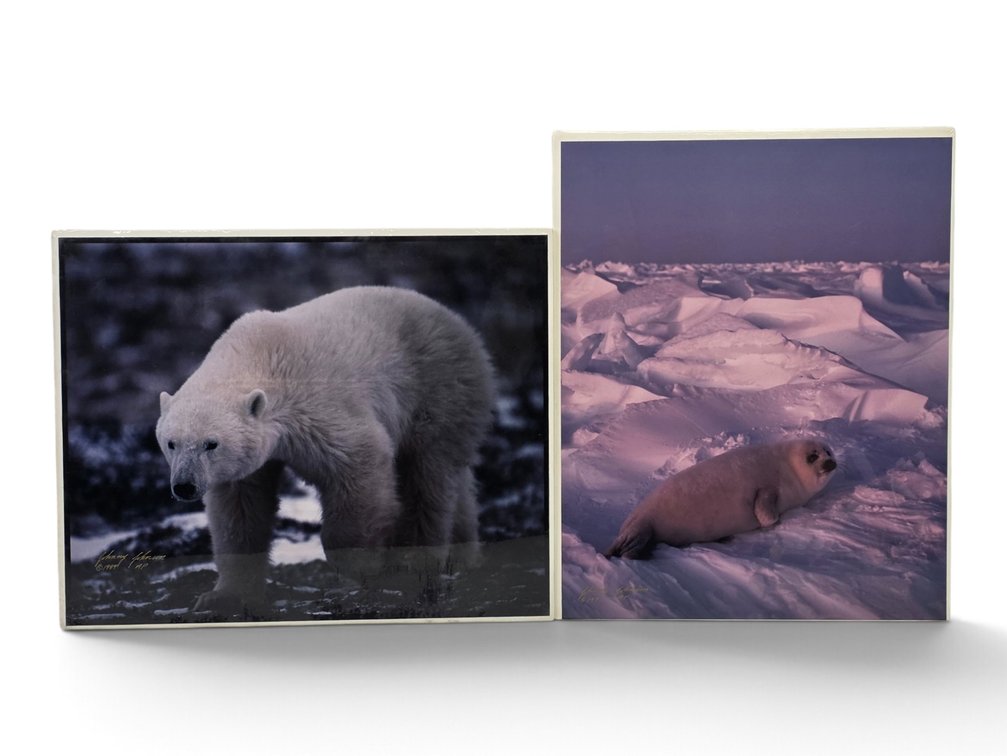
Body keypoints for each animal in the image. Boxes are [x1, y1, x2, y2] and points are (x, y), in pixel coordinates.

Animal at [155, 286, 495, 615]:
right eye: (171, 442)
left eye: (211, 443)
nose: (184, 485)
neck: (261, 354)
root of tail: (461, 324)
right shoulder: (243, 464)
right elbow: (240, 512)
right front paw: (223, 598)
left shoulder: (319, 408)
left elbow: (361, 462)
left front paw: (358, 571)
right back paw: (463, 555)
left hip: (437, 390)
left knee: (426, 476)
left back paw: (414, 561)